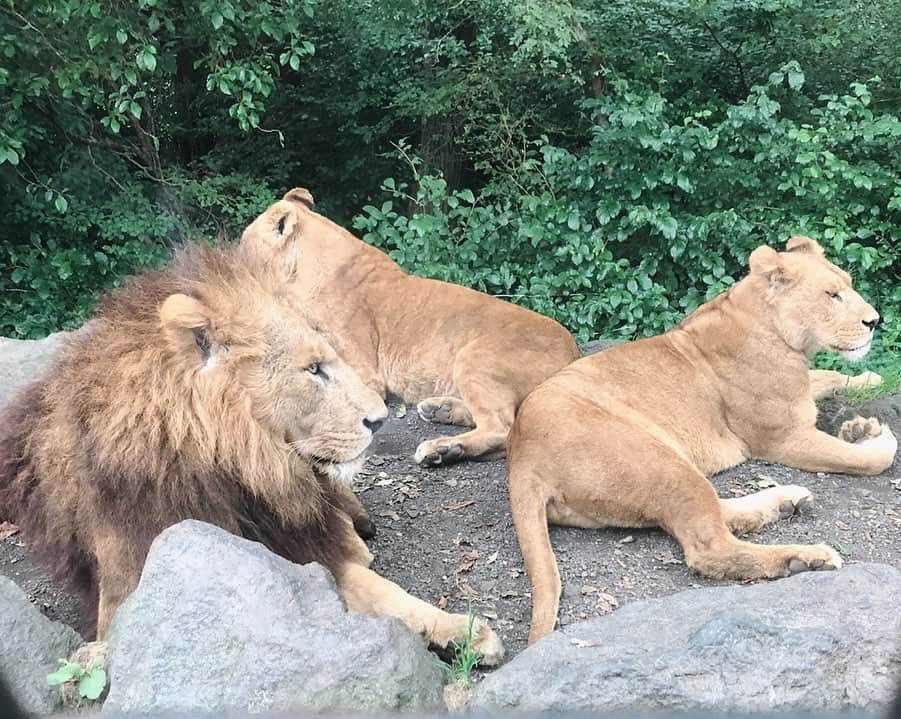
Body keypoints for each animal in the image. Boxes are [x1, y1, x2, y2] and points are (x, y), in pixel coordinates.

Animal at [0, 242, 502, 664]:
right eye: (313, 369)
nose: (380, 420)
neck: (240, 478)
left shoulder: (298, 541)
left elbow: (385, 592)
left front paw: (462, 630)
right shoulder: (129, 591)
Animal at [239, 188, 576, 466]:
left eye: (243, 242)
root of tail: (573, 355)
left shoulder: (365, 374)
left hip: (475, 356)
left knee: (502, 428)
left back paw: (442, 449)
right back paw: (440, 411)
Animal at [510, 235, 896, 640]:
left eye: (848, 285)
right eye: (832, 294)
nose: (874, 321)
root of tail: (522, 454)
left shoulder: (801, 395)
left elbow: (829, 376)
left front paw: (866, 392)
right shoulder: (784, 438)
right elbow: (870, 459)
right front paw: (872, 434)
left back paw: (786, 501)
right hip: (660, 459)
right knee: (710, 549)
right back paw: (806, 557)